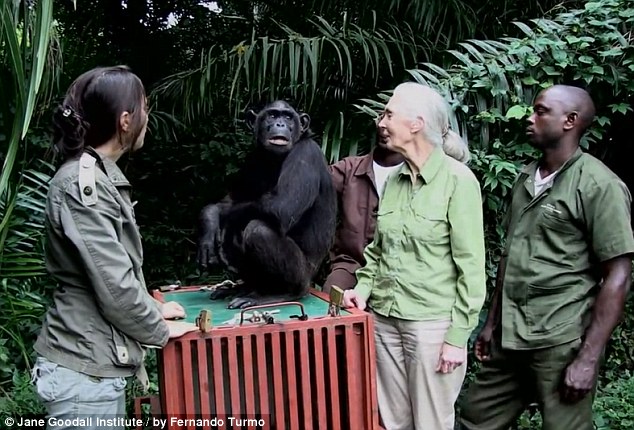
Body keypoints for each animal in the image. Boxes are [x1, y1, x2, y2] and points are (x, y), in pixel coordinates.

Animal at [196, 101, 336, 310]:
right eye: (272, 115)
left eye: (288, 117)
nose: (280, 124)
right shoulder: (251, 159)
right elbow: (229, 200)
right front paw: (209, 221)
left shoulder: (306, 154)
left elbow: (283, 206)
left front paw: (223, 225)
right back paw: (243, 288)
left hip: (304, 276)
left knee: (257, 230)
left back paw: (282, 293)